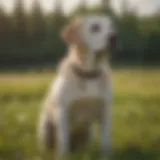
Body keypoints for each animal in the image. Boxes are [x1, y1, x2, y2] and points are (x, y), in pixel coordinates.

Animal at [37, 14, 117, 156]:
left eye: (112, 27)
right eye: (95, 27)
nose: (114, 37)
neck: (89, 74)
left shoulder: (105, 111)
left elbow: (106, 140)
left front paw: (106, 155)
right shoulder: (63, 112)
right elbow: (63, 141)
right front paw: (62, 156)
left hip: (89, 132)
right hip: (45, 126)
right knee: (49, 144)